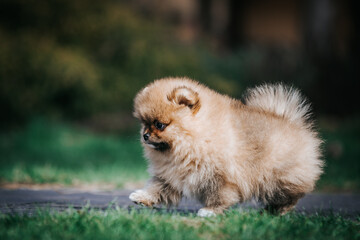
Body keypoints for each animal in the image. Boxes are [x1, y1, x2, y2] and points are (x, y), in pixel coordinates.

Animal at [129, 77, 324, 218]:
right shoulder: (172, 175)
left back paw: (278, 211)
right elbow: (157, 189)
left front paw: (210, 211)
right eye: (144, 123)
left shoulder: (221, 178)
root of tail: (293, 122)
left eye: (160, 125)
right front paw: (141, 197)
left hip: (278, 178)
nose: (145, 135)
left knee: (289, 196)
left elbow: (220, 197)